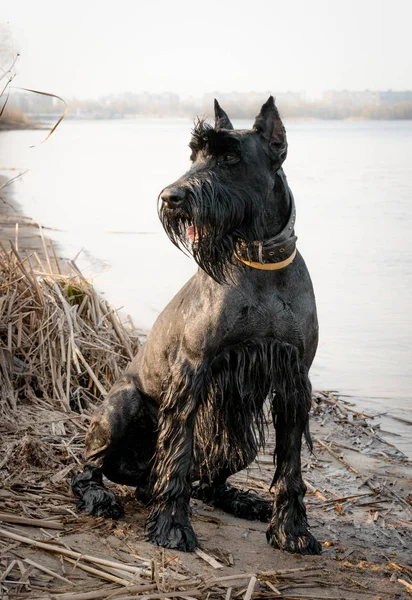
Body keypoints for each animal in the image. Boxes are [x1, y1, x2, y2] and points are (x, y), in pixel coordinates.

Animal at [71, 96, 322, 556]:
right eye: (195, 156)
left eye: (229, 157)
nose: (171, 197)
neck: (258, 262)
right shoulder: (192, 371)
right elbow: (177, 458)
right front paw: (172, 526)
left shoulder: (293, 380)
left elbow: (290, 467)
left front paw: (292, 530)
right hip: (119, 410)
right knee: (88, 468)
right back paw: (101, 496)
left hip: (239, 444)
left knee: (205, 481)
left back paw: (240, 499)